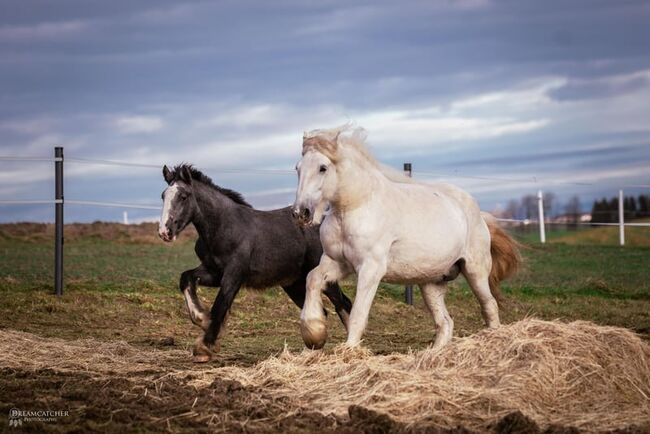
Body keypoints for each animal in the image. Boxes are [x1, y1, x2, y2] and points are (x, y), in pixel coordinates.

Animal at [158, 164, 350, 362]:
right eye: (163, 195)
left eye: (183, 196)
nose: (165, 231)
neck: (225, 227)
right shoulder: (214, 272)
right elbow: (186, 278)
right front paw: (202, 319)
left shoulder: (234, 275)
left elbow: (220, 305)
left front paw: (204, 346)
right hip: (294, 284)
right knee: (324, 311)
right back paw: (310, 354)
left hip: (323, 277)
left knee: (343, 304)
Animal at [292, 124, 520, 350]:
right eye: (298, 168)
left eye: (323, 168)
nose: (301, 213)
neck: (355, 206)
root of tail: (479, 214)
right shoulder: (337, 262)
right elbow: (312, 279)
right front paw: (314, 332)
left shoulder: (370, 268)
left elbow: (358, 313)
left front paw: (348, 349)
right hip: (431, 283)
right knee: (445, 322)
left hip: (475, 271)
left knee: (489, 306)